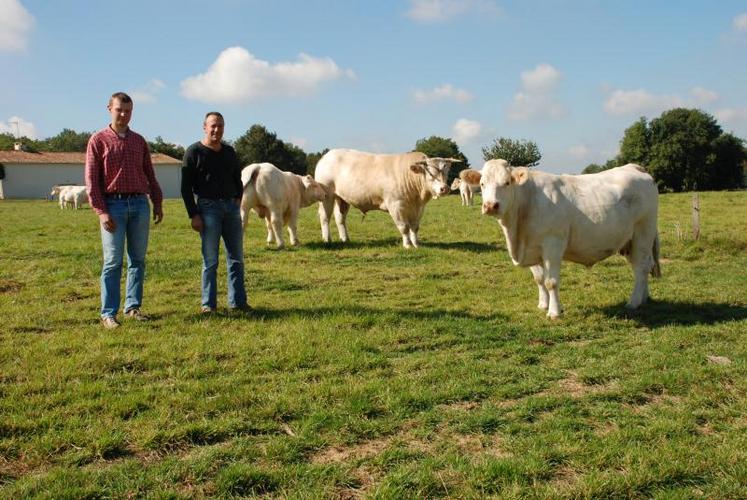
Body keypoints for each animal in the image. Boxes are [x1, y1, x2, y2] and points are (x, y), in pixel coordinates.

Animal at [316, 148, 462, 250]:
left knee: (340, 218)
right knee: (325, 217)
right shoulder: (395, 205)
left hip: (342, 198)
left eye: (447, 171)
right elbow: (404, 227)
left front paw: (416, 244)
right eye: (430, 172)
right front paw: (407, 245)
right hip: (327, 196)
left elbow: (414, 227)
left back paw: (345, 239)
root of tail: (327, 155)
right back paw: (327, 239)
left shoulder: (419, 209)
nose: (444, 189)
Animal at [480, 158, 660, 318]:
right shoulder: (532, 247)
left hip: (644, 231)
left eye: (506, 183)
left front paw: (554, 312)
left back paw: (633, 302)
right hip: (630, 241)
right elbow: (539, 279)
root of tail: (634, 167)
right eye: (482, 184)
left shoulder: (553, 244)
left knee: (642, 266)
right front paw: (543, 305)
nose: (490, 205)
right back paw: (644, 298)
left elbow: (550, 281)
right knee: (641, 266)